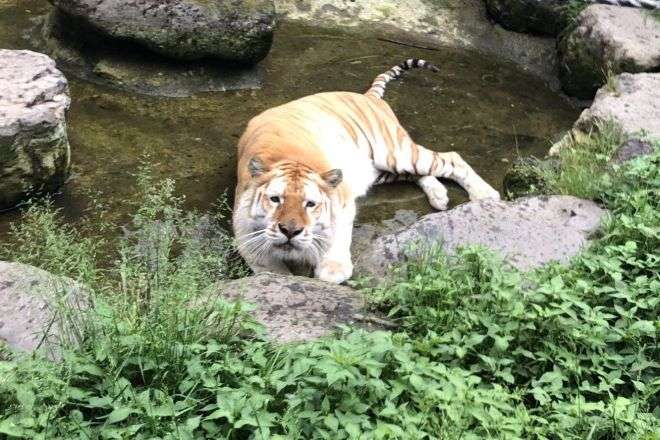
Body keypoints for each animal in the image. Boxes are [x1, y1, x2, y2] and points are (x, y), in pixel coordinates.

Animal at [233, 58, 500, 284]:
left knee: (452, 158)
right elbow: (266, 264)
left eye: (310, 204)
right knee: (421, 173)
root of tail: (368, 97)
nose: (290, 231)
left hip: (395, 153)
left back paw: (485, 195)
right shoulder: (244, 229)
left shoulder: (342, 202)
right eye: (275, 199)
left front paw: (332, 270)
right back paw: (439, 196)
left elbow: (337, 236)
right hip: (381, 170)